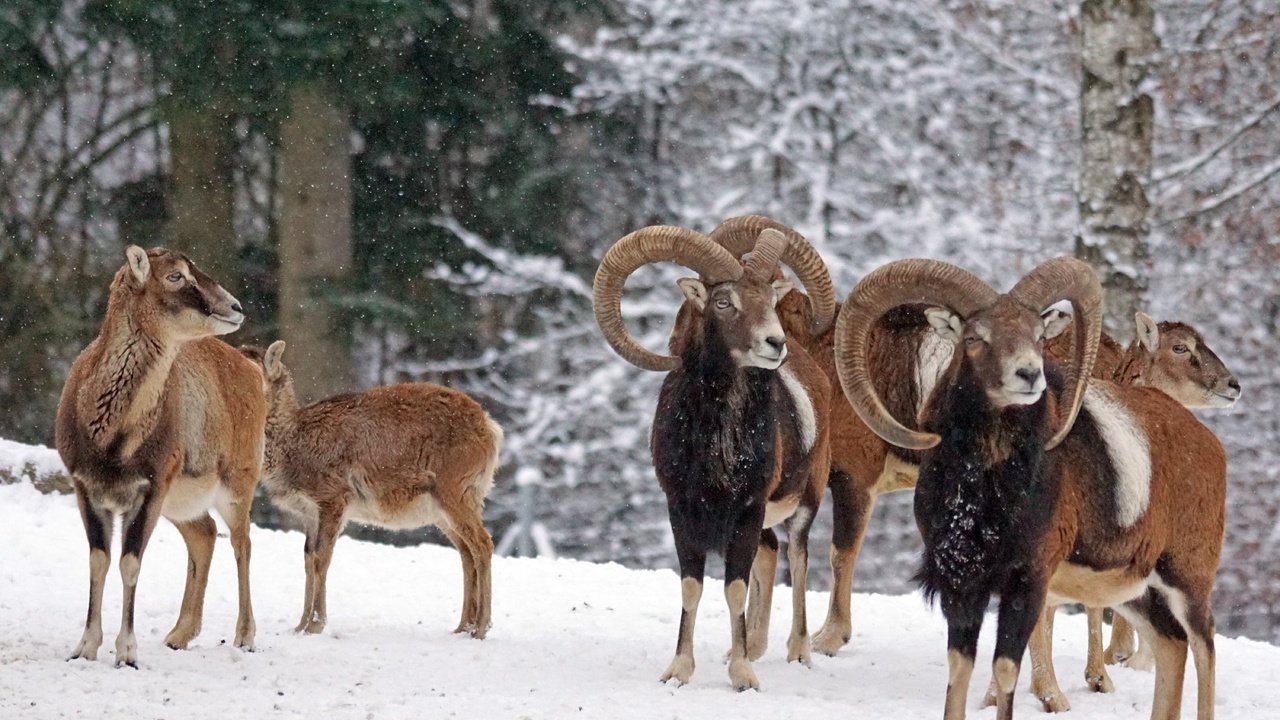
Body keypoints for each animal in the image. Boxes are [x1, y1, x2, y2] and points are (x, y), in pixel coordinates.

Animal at [56, 243, 263, 666]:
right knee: (204, 533)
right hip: (180, 502)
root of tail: (255, 372)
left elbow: (130, 562)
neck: (113, 442)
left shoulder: (151, 486)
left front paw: (127, 653)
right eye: (175, 275)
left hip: (238, 482)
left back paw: (245, 636)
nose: (235, 307)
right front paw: (84, 648)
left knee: (242, 542)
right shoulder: (85, 487)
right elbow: (99, 560)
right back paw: (178, 635)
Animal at [244, 338, 499, 635]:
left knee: (483, 543)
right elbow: (308, 559)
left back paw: (481, 627)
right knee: (466, 552)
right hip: (444, 507)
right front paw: (299, 626)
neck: (293, 450)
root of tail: (492, 429)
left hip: (456, 489)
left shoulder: (334, 496)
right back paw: (463, 627)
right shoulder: (308, 511)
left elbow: (322, 558)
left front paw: (316, 624)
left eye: (253, 367)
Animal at [593, 224, 834, 691]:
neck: (718, 446)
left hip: (804, 505)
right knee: (771, 554)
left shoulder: (746, 511)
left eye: (770, 298)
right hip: (764, 524)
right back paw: (752, 647)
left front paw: (742, 676)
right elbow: (692, 587)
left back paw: (797, 652)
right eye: (724, 302)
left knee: (798, 559)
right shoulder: (682, 510)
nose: (774, 343)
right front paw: (679, 671)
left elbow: (734, 588)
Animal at [834, 257, 1223, 717]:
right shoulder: (962, 588)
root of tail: (1208, 443)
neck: (981, 495)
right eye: (974, 337)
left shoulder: (1028, 583)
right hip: (1136, 593)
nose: (1028, 374)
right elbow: (959, 672)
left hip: (1187, 579)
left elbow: (1005, 671)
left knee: (1203, 646)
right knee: (1171, 646)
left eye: (1038, 335)